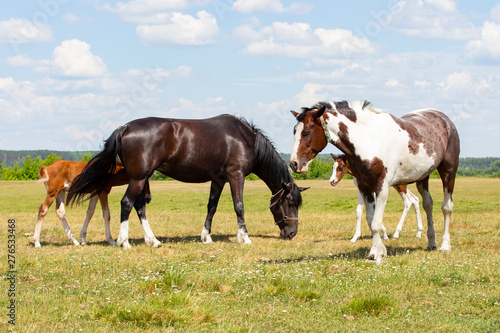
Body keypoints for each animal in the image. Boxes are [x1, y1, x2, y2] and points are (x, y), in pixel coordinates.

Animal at [68, 114, 306, 246]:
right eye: (290, 203)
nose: (292, 233)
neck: (245, 139)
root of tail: (125, 127)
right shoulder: (235, 175)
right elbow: (239, 206)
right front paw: (244, 238)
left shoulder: (218, 180)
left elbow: (212, 207)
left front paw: (206, 237)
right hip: (138, 178)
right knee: (127, 204)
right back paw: (124, 242)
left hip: (142, 179)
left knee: (139, 206)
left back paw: (153, 241)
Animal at [290, 100, 460, 264]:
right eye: (294, 132)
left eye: (306, 132)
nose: (294, 164)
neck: (369, 140)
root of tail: (445, 120)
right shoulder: (365, 187)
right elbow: (370, 220)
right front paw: (375, 252)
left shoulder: (382, 187)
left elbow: (376, 222)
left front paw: (378, 256)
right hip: (423, 177)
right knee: (427, 204)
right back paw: (431, 242)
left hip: (448, 172)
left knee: (446, 207)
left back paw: (445, 245)